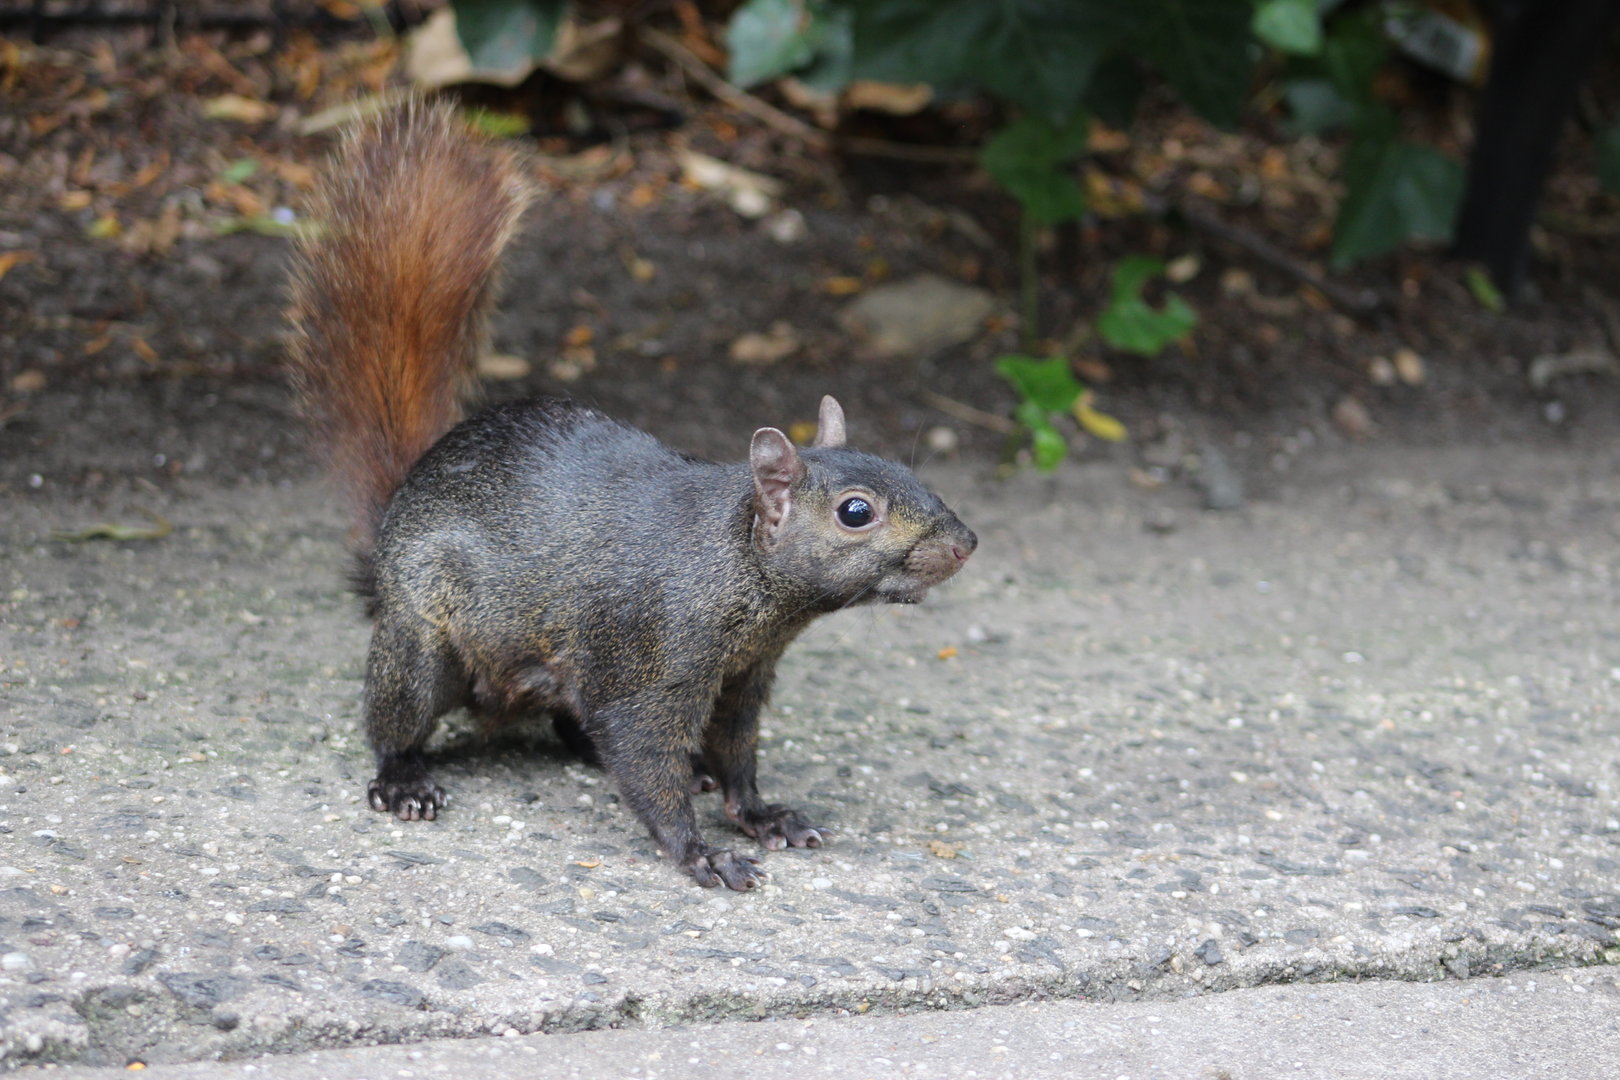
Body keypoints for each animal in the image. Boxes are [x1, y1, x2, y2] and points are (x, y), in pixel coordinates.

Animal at [286, 102, 977, 890]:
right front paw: (699, 851)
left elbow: (737, 754)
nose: (965, 544)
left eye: (904, 468)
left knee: (572, 724)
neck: (738, 571)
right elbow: (644, 755)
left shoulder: (744, 678)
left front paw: (759, 813)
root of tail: (388, 529)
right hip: (422, 639)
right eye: (855, 511)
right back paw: (403, 779)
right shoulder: (648, 662)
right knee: (398, 716)